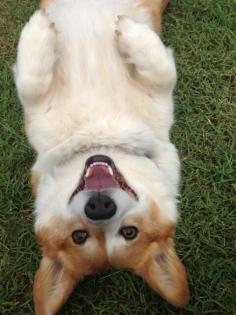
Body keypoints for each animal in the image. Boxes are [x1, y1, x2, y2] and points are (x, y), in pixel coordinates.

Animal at [14, 0, 189, 314]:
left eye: (129, 232)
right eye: (79, 236)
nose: (99, 207)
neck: (100, 135)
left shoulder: (159, 97)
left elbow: (161, 71)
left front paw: (130, 32)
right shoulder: (38, 114)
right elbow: (32, 84)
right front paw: (40, 28)